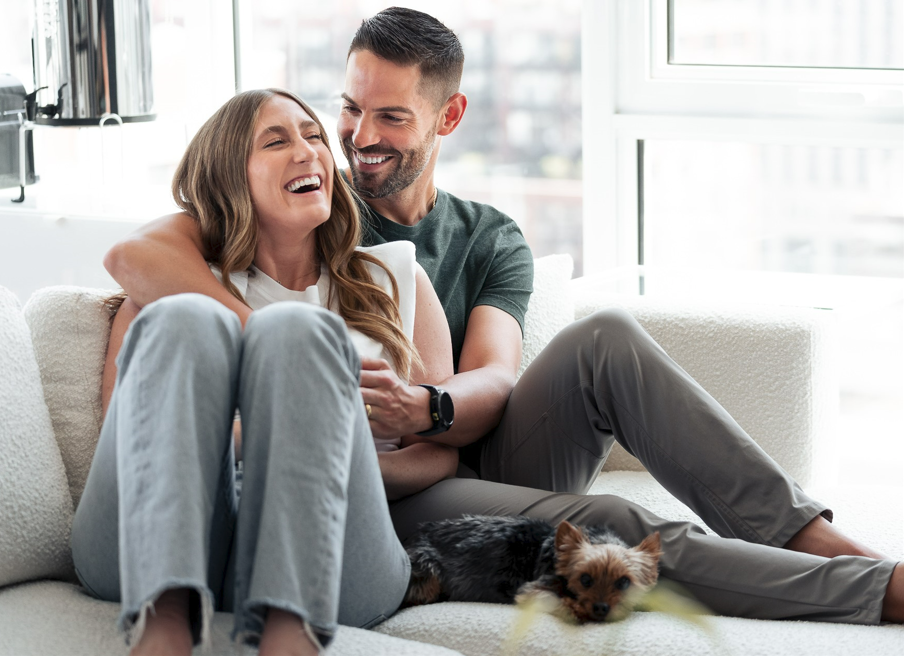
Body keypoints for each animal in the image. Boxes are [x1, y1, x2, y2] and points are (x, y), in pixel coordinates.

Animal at [406, 516, 660, 624]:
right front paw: (573, 609)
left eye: (624, 582)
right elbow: (553, 597)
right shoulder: (533, 589)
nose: (600, 608)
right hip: (427, 572)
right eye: (585, 579)